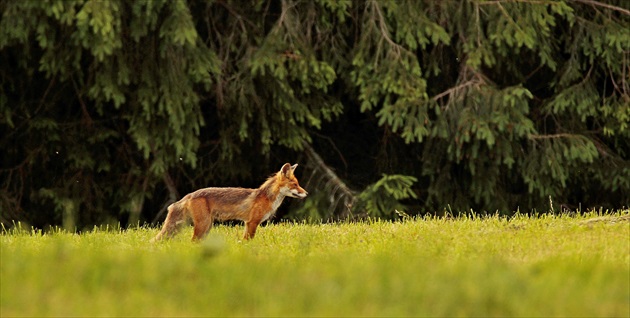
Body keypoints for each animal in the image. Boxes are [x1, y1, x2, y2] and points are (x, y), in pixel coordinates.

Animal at [154, 164, 310, 241]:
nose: (307, 193)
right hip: (203, 225)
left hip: (207, 226)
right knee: (192, 241)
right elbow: (249, 240)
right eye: (295, 184)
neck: (266, 197)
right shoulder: (252, 222)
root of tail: (189, 195)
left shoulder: (248, 223)